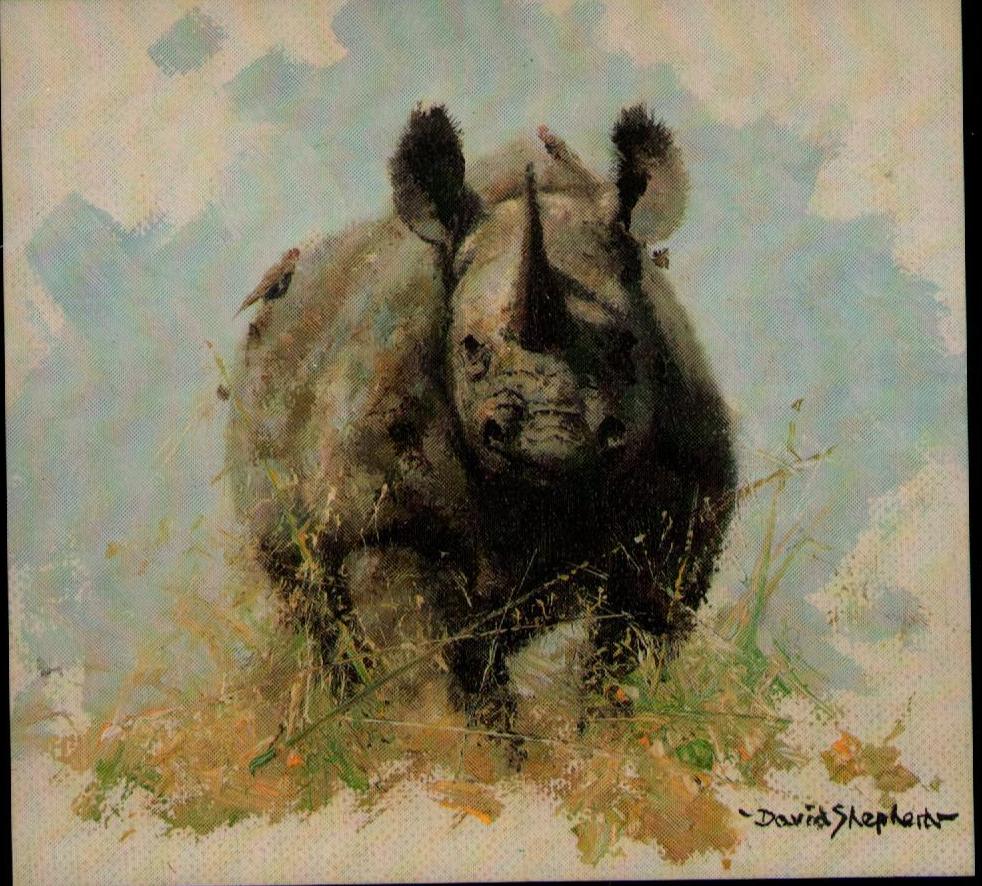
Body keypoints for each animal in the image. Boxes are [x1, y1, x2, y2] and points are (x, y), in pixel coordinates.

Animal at [226, 104, 736, 730]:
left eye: (625, 345)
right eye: (470, 348)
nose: (552, 440)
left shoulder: (684, 515)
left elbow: (628, 653)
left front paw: (602, 740)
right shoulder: (379, 517)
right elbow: (421, 660)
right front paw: (459, 747)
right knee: (326, 613)